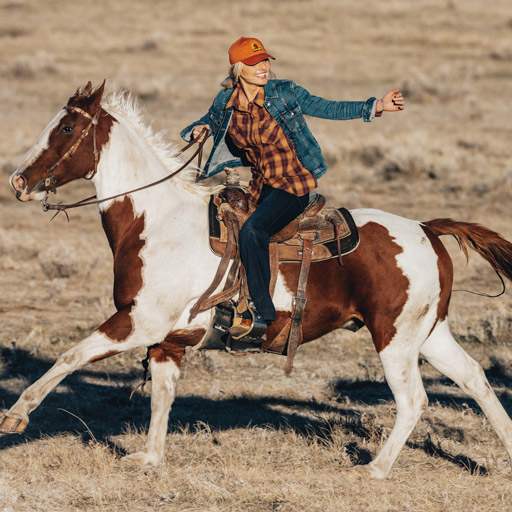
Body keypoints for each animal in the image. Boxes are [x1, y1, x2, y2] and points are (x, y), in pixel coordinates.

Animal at [3, 82, 512, 478]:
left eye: (66, 129)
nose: (19, 182)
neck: (156, 220)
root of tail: (426, 228)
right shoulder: (168, 340)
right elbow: (162, 398)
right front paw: (149, 458)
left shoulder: (138, 323)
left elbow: (71, 356)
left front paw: (16, 417)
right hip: (429, 333)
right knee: (475, 379)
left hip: (394, 338)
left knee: (413, 400)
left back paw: (375, 468)